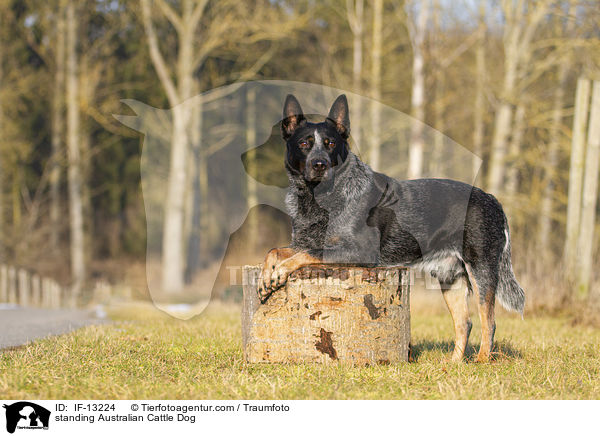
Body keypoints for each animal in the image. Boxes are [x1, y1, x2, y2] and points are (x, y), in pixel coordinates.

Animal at [258, 94, 524, 362]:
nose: (320, 164)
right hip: (451, 277)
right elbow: (276, 250)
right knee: (464, 323)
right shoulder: (305, 242)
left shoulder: (359, 252)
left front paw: (280, 271)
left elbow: (306, 254)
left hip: (481, 268)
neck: (318, 199)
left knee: (488, 322)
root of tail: (493, 199)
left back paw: (481, 361)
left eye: (330, 143)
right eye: (304, 143)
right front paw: (266, 274)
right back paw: (454, 364)